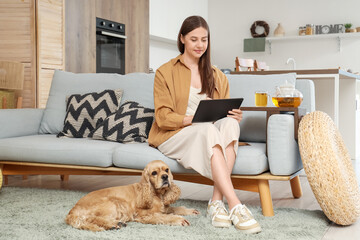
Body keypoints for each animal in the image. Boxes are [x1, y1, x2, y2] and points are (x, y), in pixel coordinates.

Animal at [65, 160, 200, 232]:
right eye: (154, 173)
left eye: (166, 170)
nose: (165, 177)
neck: (154, 193)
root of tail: (73, 210)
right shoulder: (143, 215)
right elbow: (163, 217)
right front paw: (179, 220)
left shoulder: (164, 207)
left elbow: (174, 208)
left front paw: (190, 211)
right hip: (114, 203)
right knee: (91, 218)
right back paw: (114, 224)